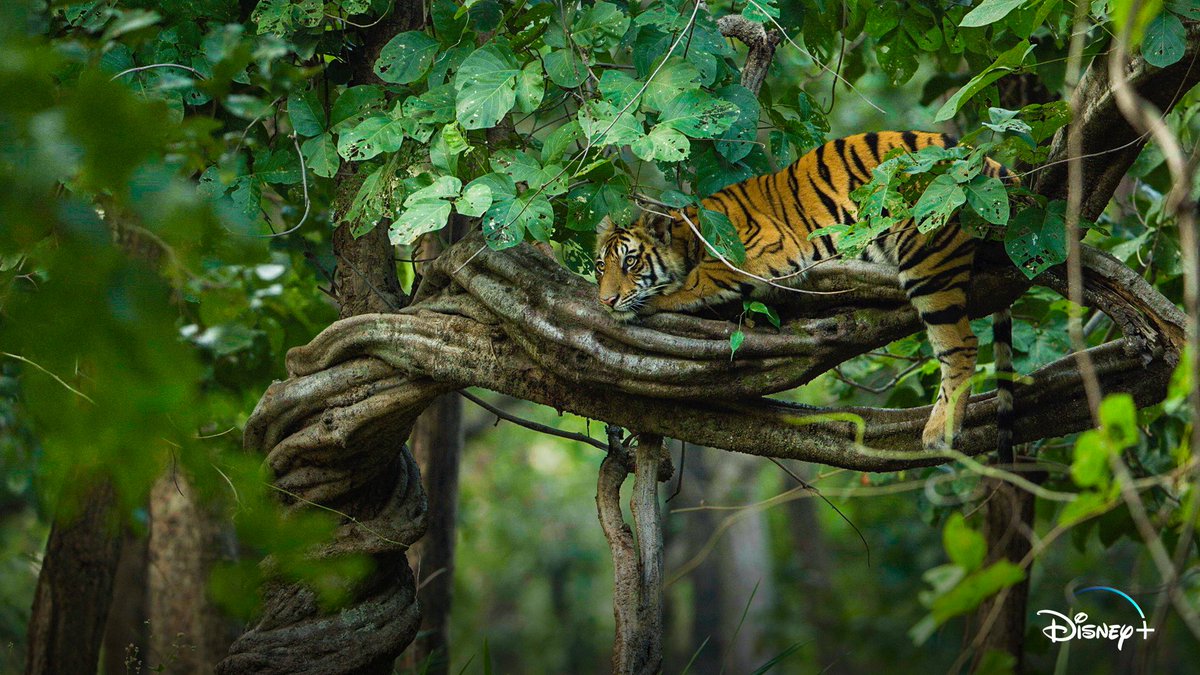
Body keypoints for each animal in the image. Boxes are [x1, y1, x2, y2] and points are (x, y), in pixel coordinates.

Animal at [594, 131, 1015, 452]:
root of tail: (990, 164)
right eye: (601, 266)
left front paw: (657, 299)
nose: (606, 300)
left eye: (630, 262)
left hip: (928, 257)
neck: (688, 238)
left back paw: (939, 431)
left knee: (960, 344)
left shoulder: (761, 246)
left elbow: (700, 280)